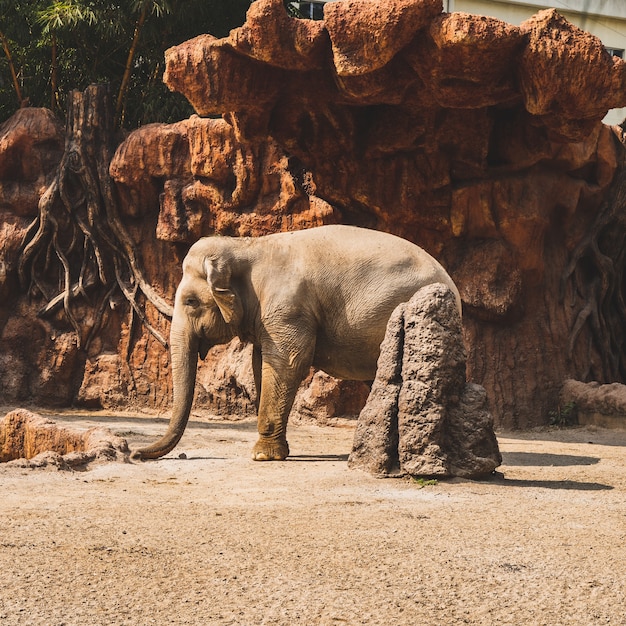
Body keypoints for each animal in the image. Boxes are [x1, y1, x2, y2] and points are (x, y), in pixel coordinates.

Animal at [133, 223, 458, 458]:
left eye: (190, 301)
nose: (135, 453)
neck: (246, 245)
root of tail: (451, 283)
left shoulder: (287, 307)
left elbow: (287, 363)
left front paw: (262, 456)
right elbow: (260, 364)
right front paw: (276, 450)